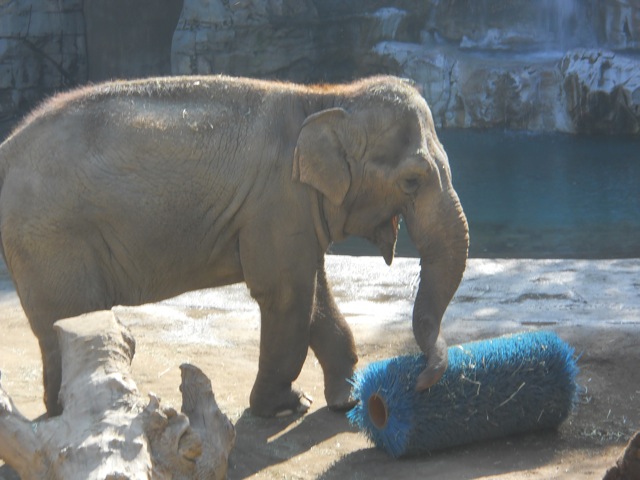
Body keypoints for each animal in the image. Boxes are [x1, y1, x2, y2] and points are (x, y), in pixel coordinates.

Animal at [0, 75, 468, 417]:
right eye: (412, 181)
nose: (419, 381)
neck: (327, 99)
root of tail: (7, 148)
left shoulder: (295, 209)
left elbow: (313, 290)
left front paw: (346, 399)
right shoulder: (277, 200)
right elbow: (287, 294)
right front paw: (286, 407)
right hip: (52, 237)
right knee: (71, 318)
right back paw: (68, 414)